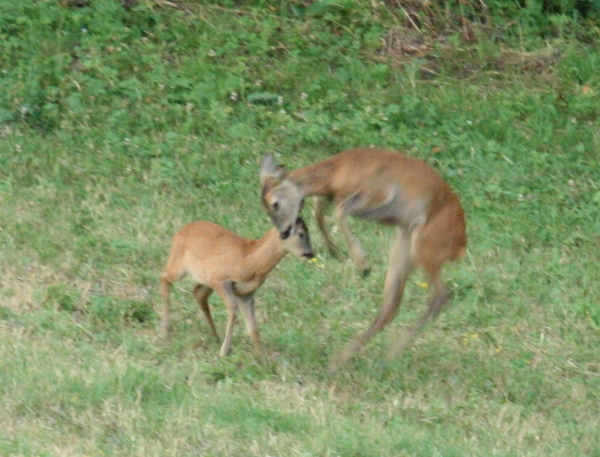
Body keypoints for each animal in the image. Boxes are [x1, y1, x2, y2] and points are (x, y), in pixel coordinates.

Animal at [162, 216, 316, 358]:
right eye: (301, 233)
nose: (310, 253)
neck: (250, 261)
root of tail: (180, 232)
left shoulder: (246, 293)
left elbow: (253, 327)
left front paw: (262, 360)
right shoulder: (220, 279)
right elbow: (233, 310)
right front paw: (224, 352)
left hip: (205, 280)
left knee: (198, 292)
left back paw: (215, 336)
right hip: (180, 268)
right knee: (164, 276)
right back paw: (166, 331)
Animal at [260, 148, 466, 366]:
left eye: (275, 204)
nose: (283, 233)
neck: (337, 171)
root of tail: (461, 244)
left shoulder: (378, 192)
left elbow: (339, 211)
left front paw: (362, 264)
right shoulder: (333, 195)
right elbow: (318, 208)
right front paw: (335, 251)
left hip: (425, 247)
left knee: (440, 295)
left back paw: (389, 350)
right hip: (403, 246)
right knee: (391, 306)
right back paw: (349, 359)